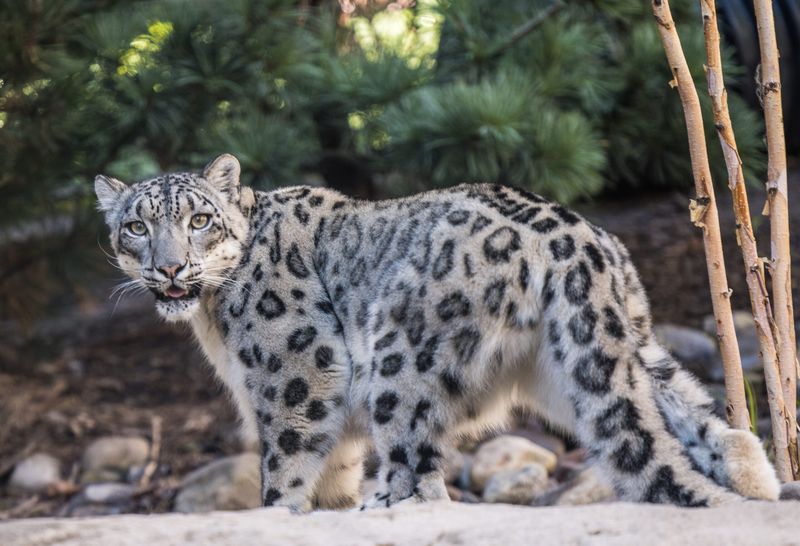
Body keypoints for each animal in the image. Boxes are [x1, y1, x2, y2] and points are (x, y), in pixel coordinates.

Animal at [95, 153, 780, 510]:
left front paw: (283, 512)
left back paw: (381, 507)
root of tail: (574, 236)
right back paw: (756, 481)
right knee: (690, 415)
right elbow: (331, 471)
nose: (170, 268)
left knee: (417, 479)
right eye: (137, 226)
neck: (211, 318)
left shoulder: (294, 378)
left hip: (399, 363)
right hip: (603, 350)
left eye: (200, 220)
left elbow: (286, 467)